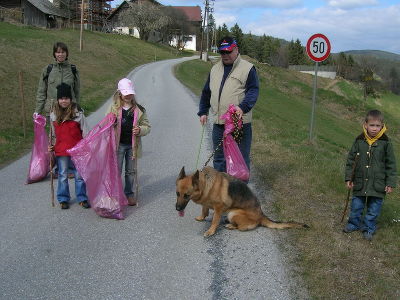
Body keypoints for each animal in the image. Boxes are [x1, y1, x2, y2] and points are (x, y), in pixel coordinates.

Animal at [175, 166, 310, 237]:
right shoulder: (206, 203)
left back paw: (230, 225)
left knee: (240, 227)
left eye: (186, 195)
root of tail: (261, 215)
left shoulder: (218, 208)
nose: (177, 209)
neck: (205, 184)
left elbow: (214, 221)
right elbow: (204, 210)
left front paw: (210, 231)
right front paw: (201, 217)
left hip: (233, 213)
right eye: (177, 193)